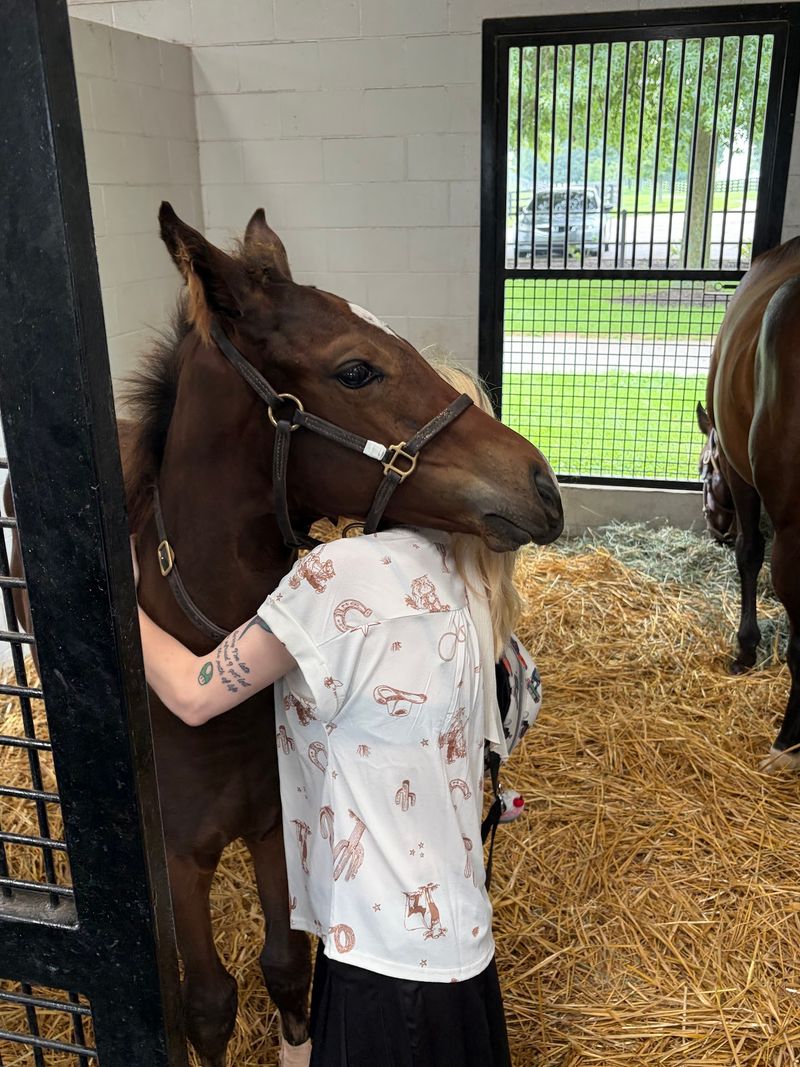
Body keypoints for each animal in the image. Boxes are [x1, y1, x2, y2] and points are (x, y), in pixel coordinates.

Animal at [5, 203, 564, 1066]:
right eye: (357, 369)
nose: (542, 484)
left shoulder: (274, 825)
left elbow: (284, 962)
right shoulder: (180, 857)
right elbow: (207, 1002)